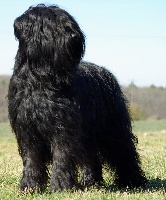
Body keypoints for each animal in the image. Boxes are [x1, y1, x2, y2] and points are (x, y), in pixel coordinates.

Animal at [7, 4, 147, 192]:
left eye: (70, 21)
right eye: (50, 23)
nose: (75, 36)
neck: (41, 78)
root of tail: (105, 72)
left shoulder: (62, 127)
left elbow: (61, 156)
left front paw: (60, 186)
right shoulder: (27, 129)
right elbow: (31, 159)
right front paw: (30, 186)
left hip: (112, 127)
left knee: (123, 150)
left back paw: (132, 181)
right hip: (88, 131)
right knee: (91, 156)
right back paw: (91, 182)